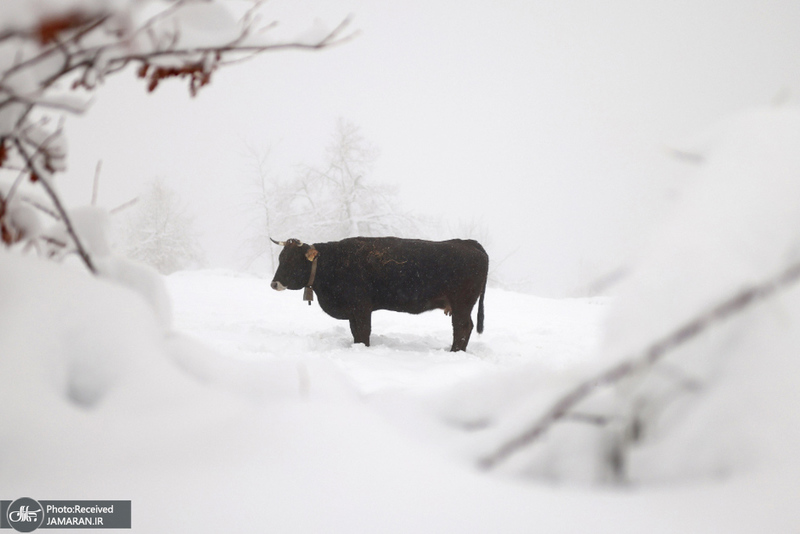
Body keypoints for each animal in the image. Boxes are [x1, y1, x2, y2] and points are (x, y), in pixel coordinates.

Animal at [272, 238, 488, 352]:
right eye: (280, 258)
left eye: (292, 261)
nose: (274, 283)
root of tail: (467, 242)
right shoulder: (353, 311)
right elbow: (355, 332)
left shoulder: (361, 307)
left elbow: (363, 331)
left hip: (462, 303)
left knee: (462, 327)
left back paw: (455, 352)